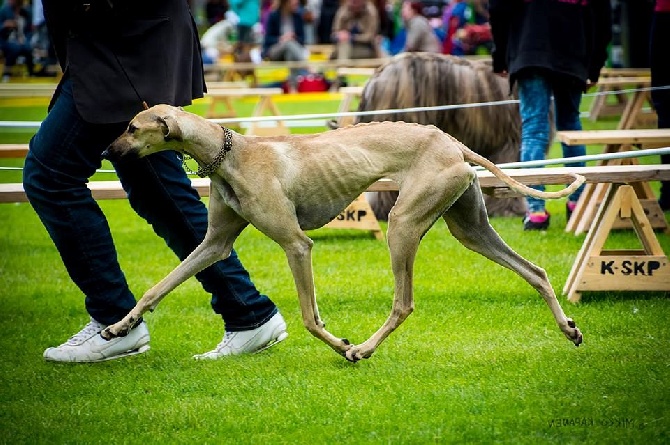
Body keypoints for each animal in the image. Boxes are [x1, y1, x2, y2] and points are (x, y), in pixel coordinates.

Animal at [102, 104, 584, 360]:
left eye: (131, 128)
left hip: (402, 225)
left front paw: (341, 345)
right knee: (536, 271)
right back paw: (569, 329)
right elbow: (159, 286)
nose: (106, 152)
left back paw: (364, 349)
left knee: (403, 303)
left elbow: (310, 317)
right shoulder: (213, 244)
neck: (230, 151)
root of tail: (452, 142)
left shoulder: (297, 245)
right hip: (470, 228)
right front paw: (119, 327)